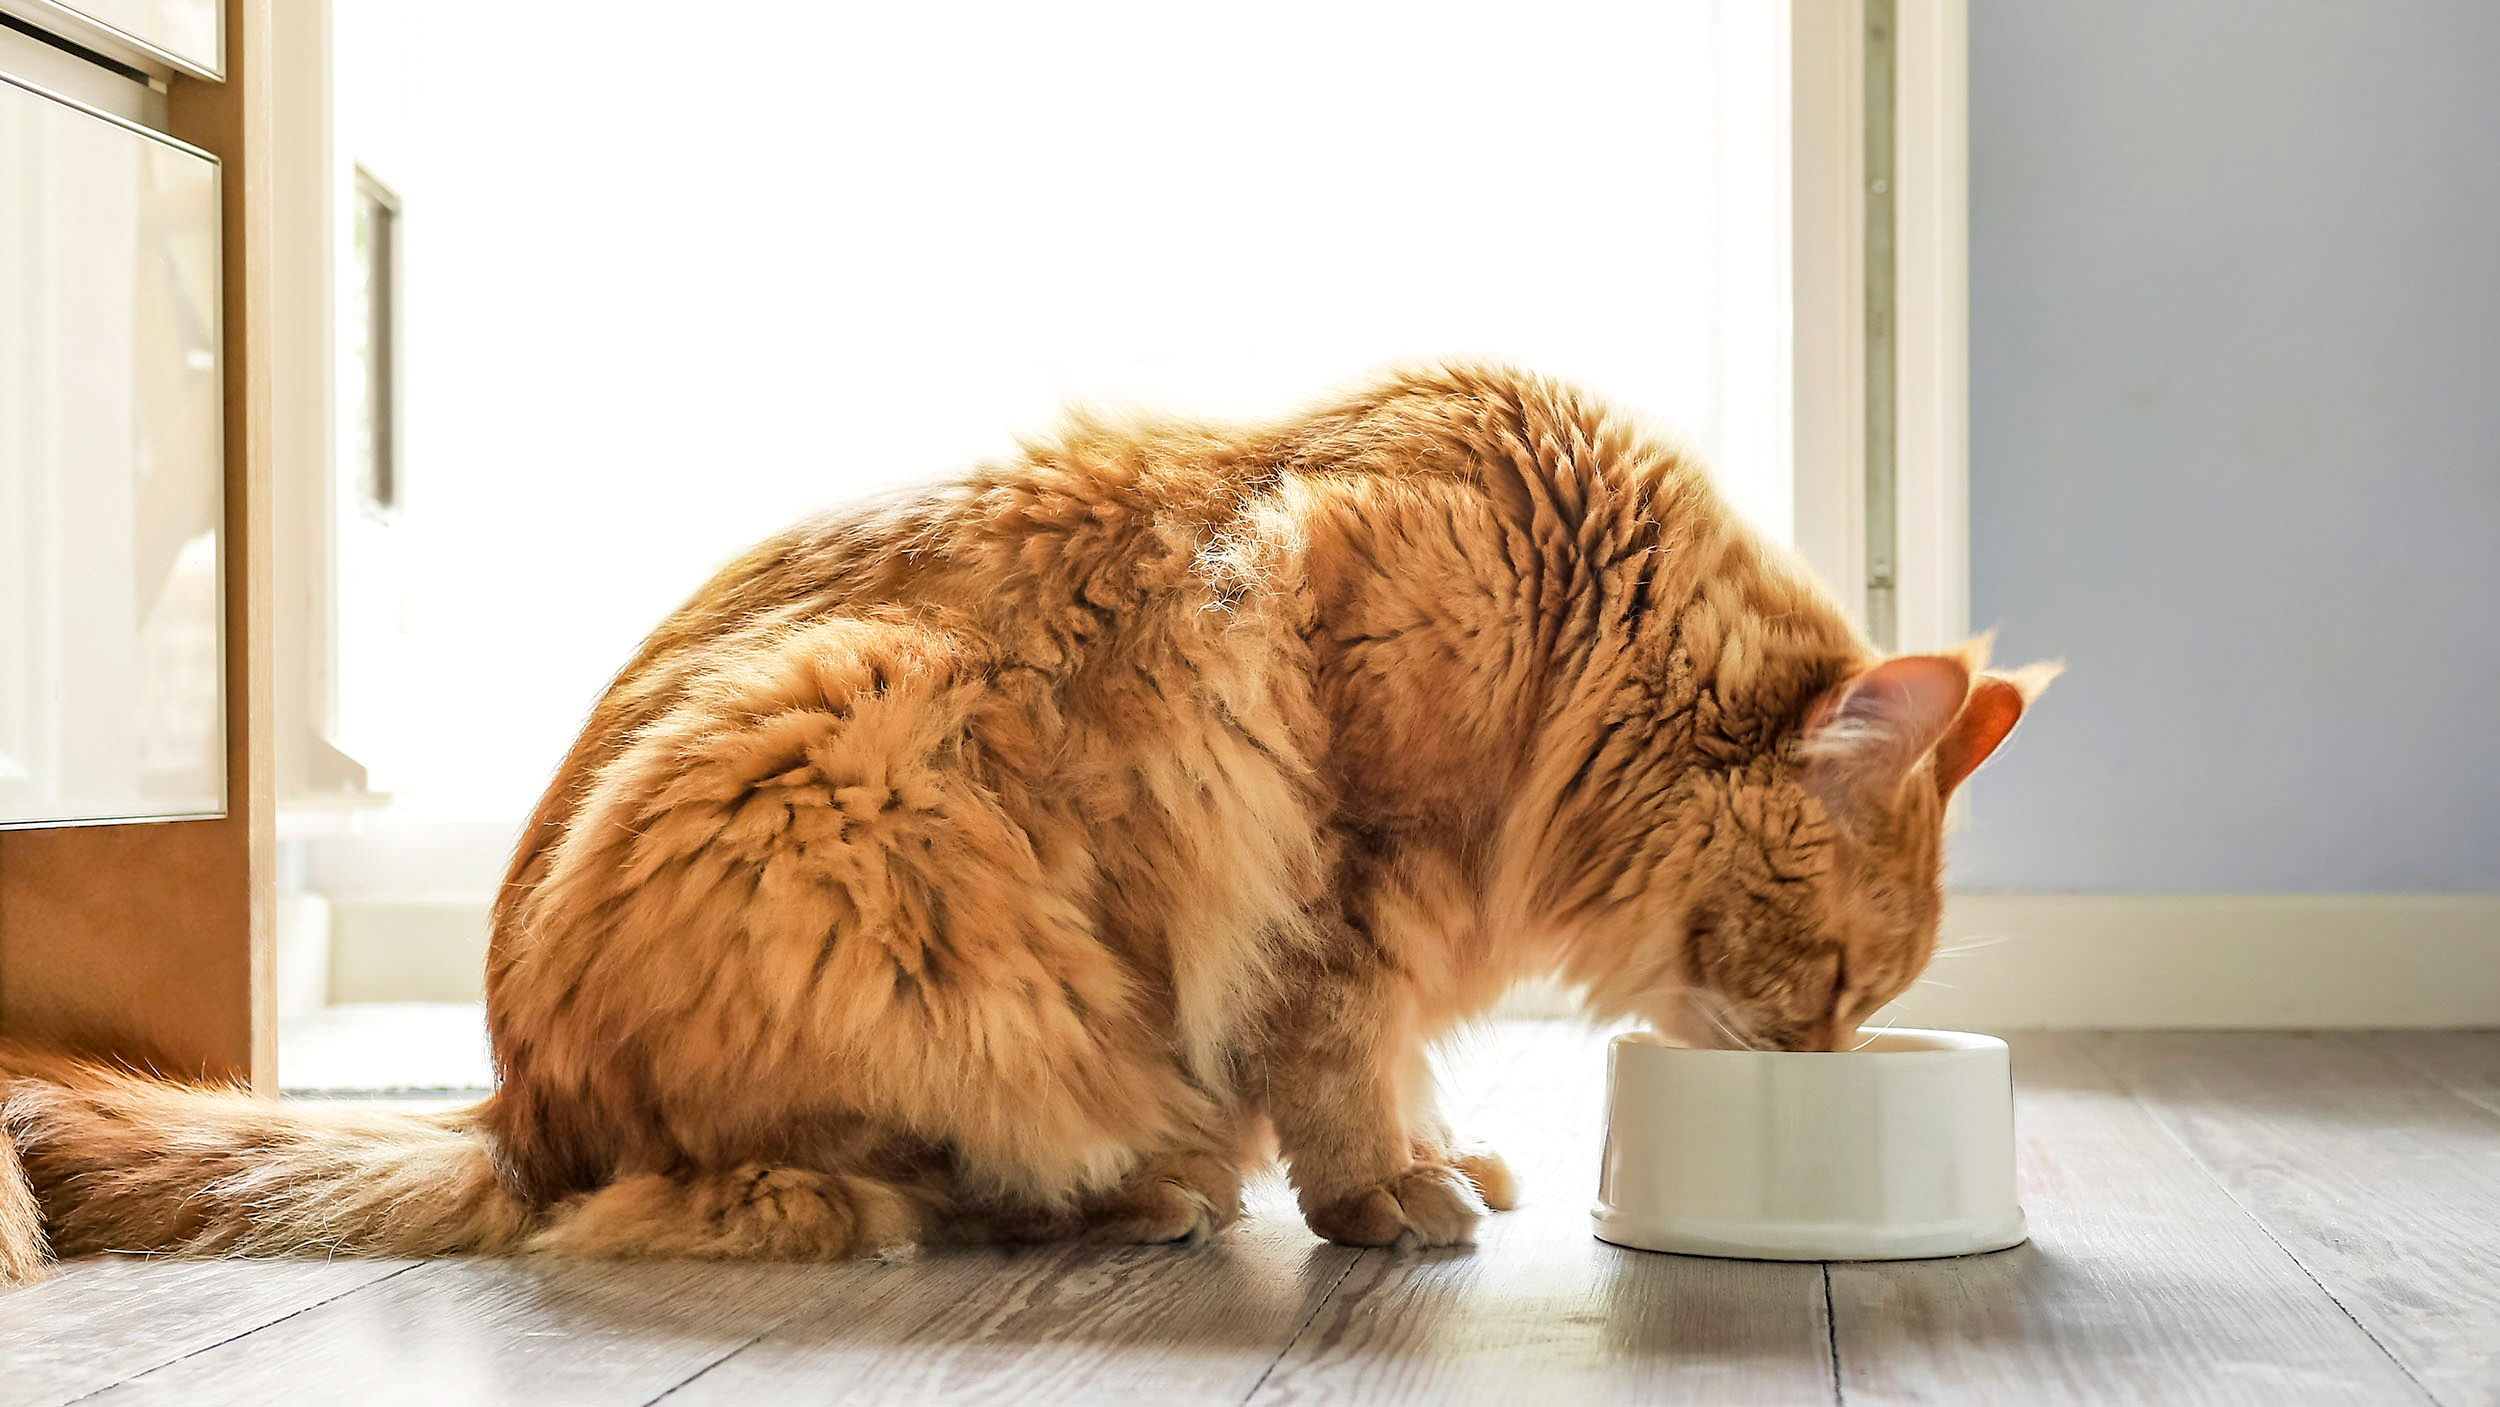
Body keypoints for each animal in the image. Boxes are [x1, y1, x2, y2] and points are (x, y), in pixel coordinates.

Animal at [0, 359, 2050, 1279]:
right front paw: (1387, 1195)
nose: (1819, 1057)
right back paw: (1110, 1191)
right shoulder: (1345, 868)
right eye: (1842, 979)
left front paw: (1442, 1156)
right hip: (858, 782)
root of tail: (513, 1101)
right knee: (740, 1192)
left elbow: (1399, 1071)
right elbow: (1346, 1064)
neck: (1573, 629)